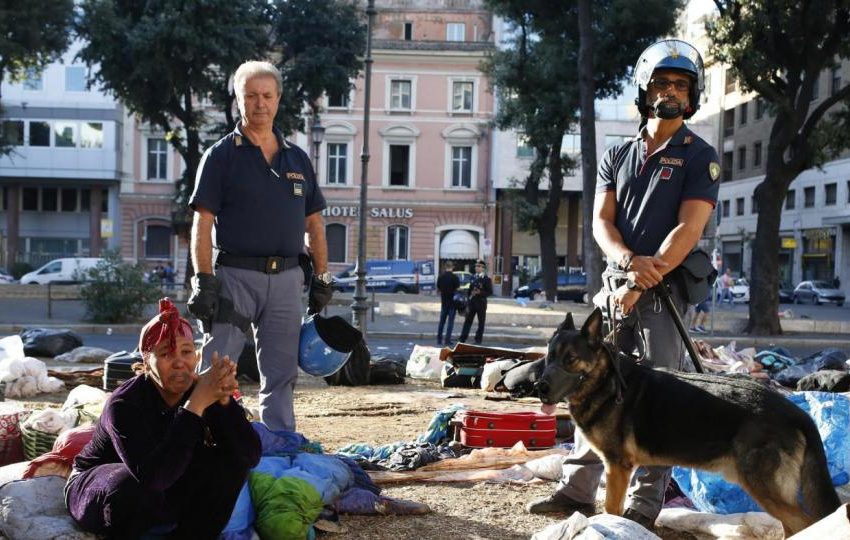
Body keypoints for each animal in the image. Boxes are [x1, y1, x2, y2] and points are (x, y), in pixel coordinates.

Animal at [532, 308, 840, 536]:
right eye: (549, 357)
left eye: (571, 359)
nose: (539, 387)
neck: (607, 382)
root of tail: (796, 412)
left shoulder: (618, 468)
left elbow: (611, 509)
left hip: (763, 487)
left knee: (805, 523)